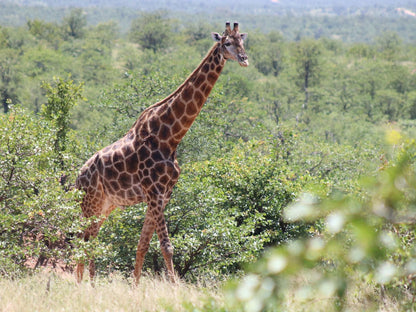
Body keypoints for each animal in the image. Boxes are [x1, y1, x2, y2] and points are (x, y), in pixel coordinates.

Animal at [75, 22, 247, 282]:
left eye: (243, 42)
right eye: (227, 43)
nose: (244, 59)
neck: (170, 137)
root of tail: (77, 179)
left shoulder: (163, 194)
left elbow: (143, 245)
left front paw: (136, 287)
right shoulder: (154, 191)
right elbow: (166, 246)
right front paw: (175, 287)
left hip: (106, 206)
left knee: (90, 239)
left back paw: (88, 283)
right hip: (90, 204)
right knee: (82, 241)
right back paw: (81, 284)